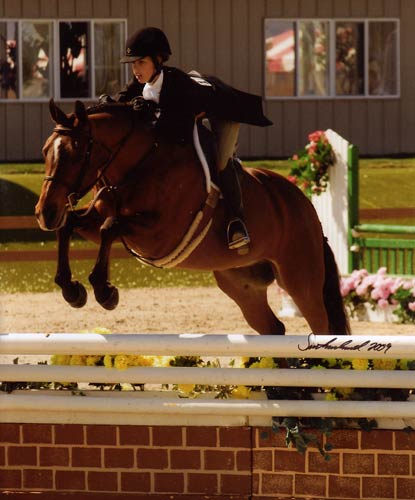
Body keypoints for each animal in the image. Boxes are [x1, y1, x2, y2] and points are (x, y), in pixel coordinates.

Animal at [35, 98, 352, 336]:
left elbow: (110, 227)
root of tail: (304, 205)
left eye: (75, 155)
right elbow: (71, 226)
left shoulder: (158, 236)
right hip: (241, 284)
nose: (44, 213)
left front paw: (104, 291)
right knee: (273, 328)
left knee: (321, 325)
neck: (138, 164)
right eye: (45, 151)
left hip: (300, 278)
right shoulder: (98, 219)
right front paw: (72, 290)